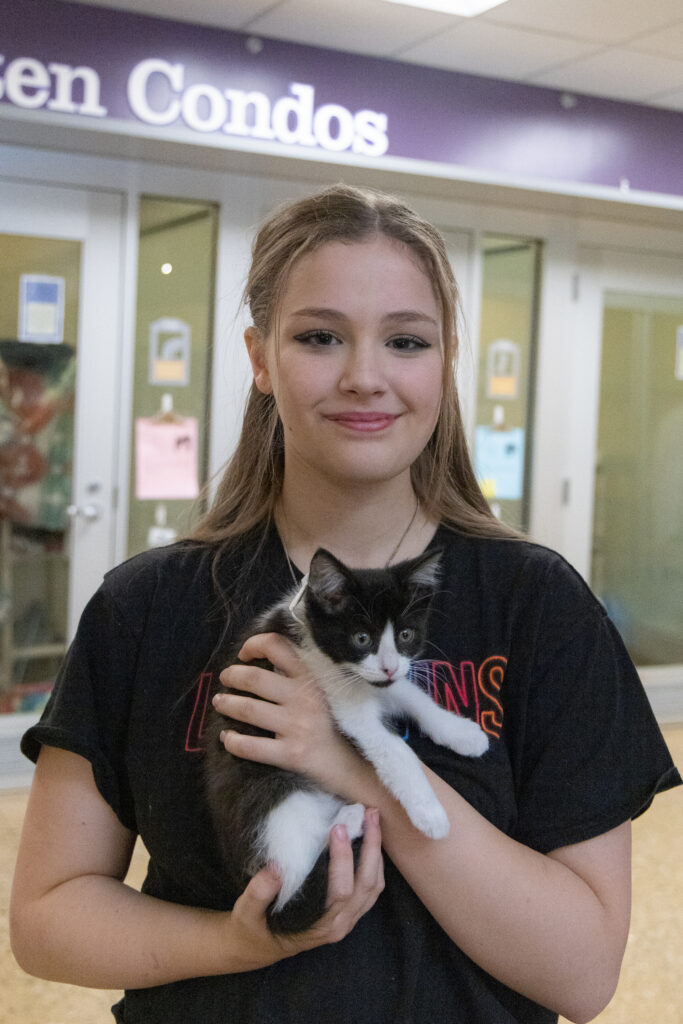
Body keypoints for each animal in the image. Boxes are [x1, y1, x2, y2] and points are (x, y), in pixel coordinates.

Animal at [205, 548, 489, 933]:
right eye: (362, 639)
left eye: (405, 634)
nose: (388, 667)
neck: (313, 637)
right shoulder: (340, 691)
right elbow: (394, 750)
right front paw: (429, 813)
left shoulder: (381, 681)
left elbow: (412, 696)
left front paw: (461, 733)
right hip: (273, 795)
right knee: (290, 877)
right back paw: (347, 823)